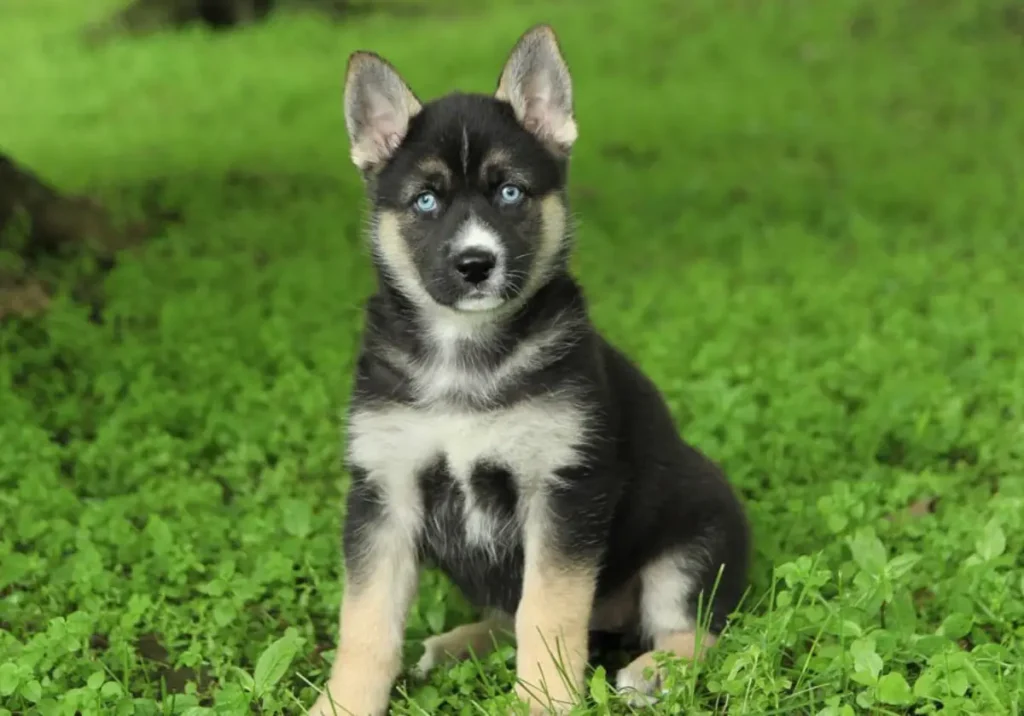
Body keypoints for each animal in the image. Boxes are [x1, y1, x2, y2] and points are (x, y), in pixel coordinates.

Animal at [307, 22, 749, 716]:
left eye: (510, 191)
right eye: (426, 201)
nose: (474, 264)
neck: (464, 354)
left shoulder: (562, 490)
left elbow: (548, 614)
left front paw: (542, 700)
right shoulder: (384, 491)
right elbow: (366, 624)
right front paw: (341, 704)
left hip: (691, 545)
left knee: (698, 630)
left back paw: (656, 672)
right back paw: (457, 643)